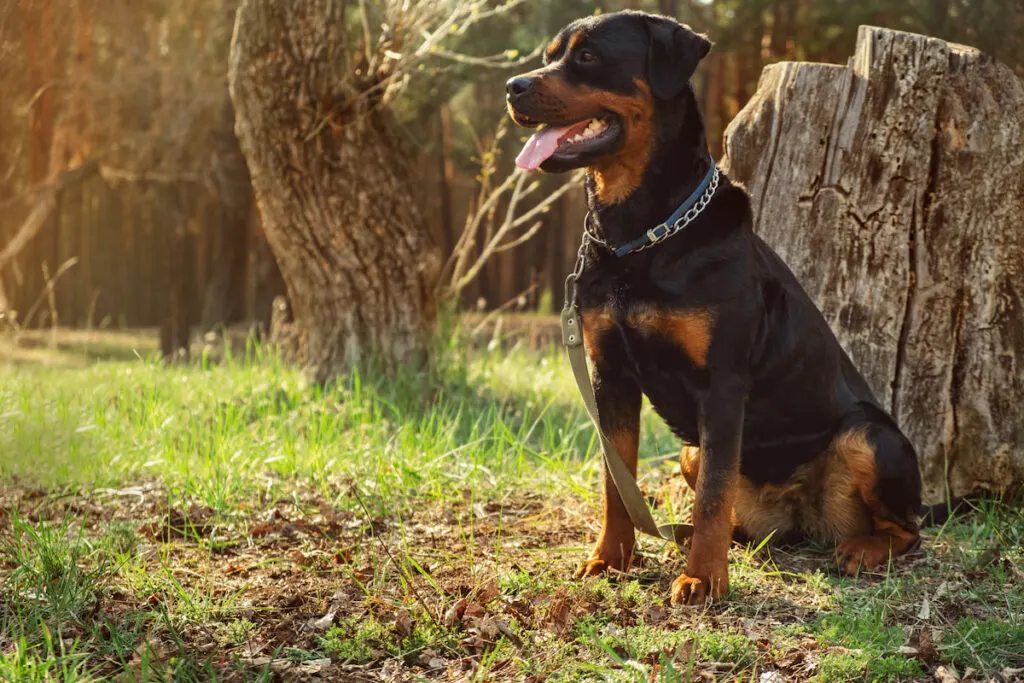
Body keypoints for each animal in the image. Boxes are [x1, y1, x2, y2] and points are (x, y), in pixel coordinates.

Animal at [507, 10, 925, 606]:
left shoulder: (722, 385)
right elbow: (617, 481)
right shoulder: (610, 375)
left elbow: (711, 496)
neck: (639, 234)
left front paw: (703, 579)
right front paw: (610, 557)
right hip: (692, 451)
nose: (513, 87)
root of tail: (802, 516)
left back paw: (861, 549)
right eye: (550, 55)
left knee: (906, 528)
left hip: (870, 438)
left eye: (587, 56)